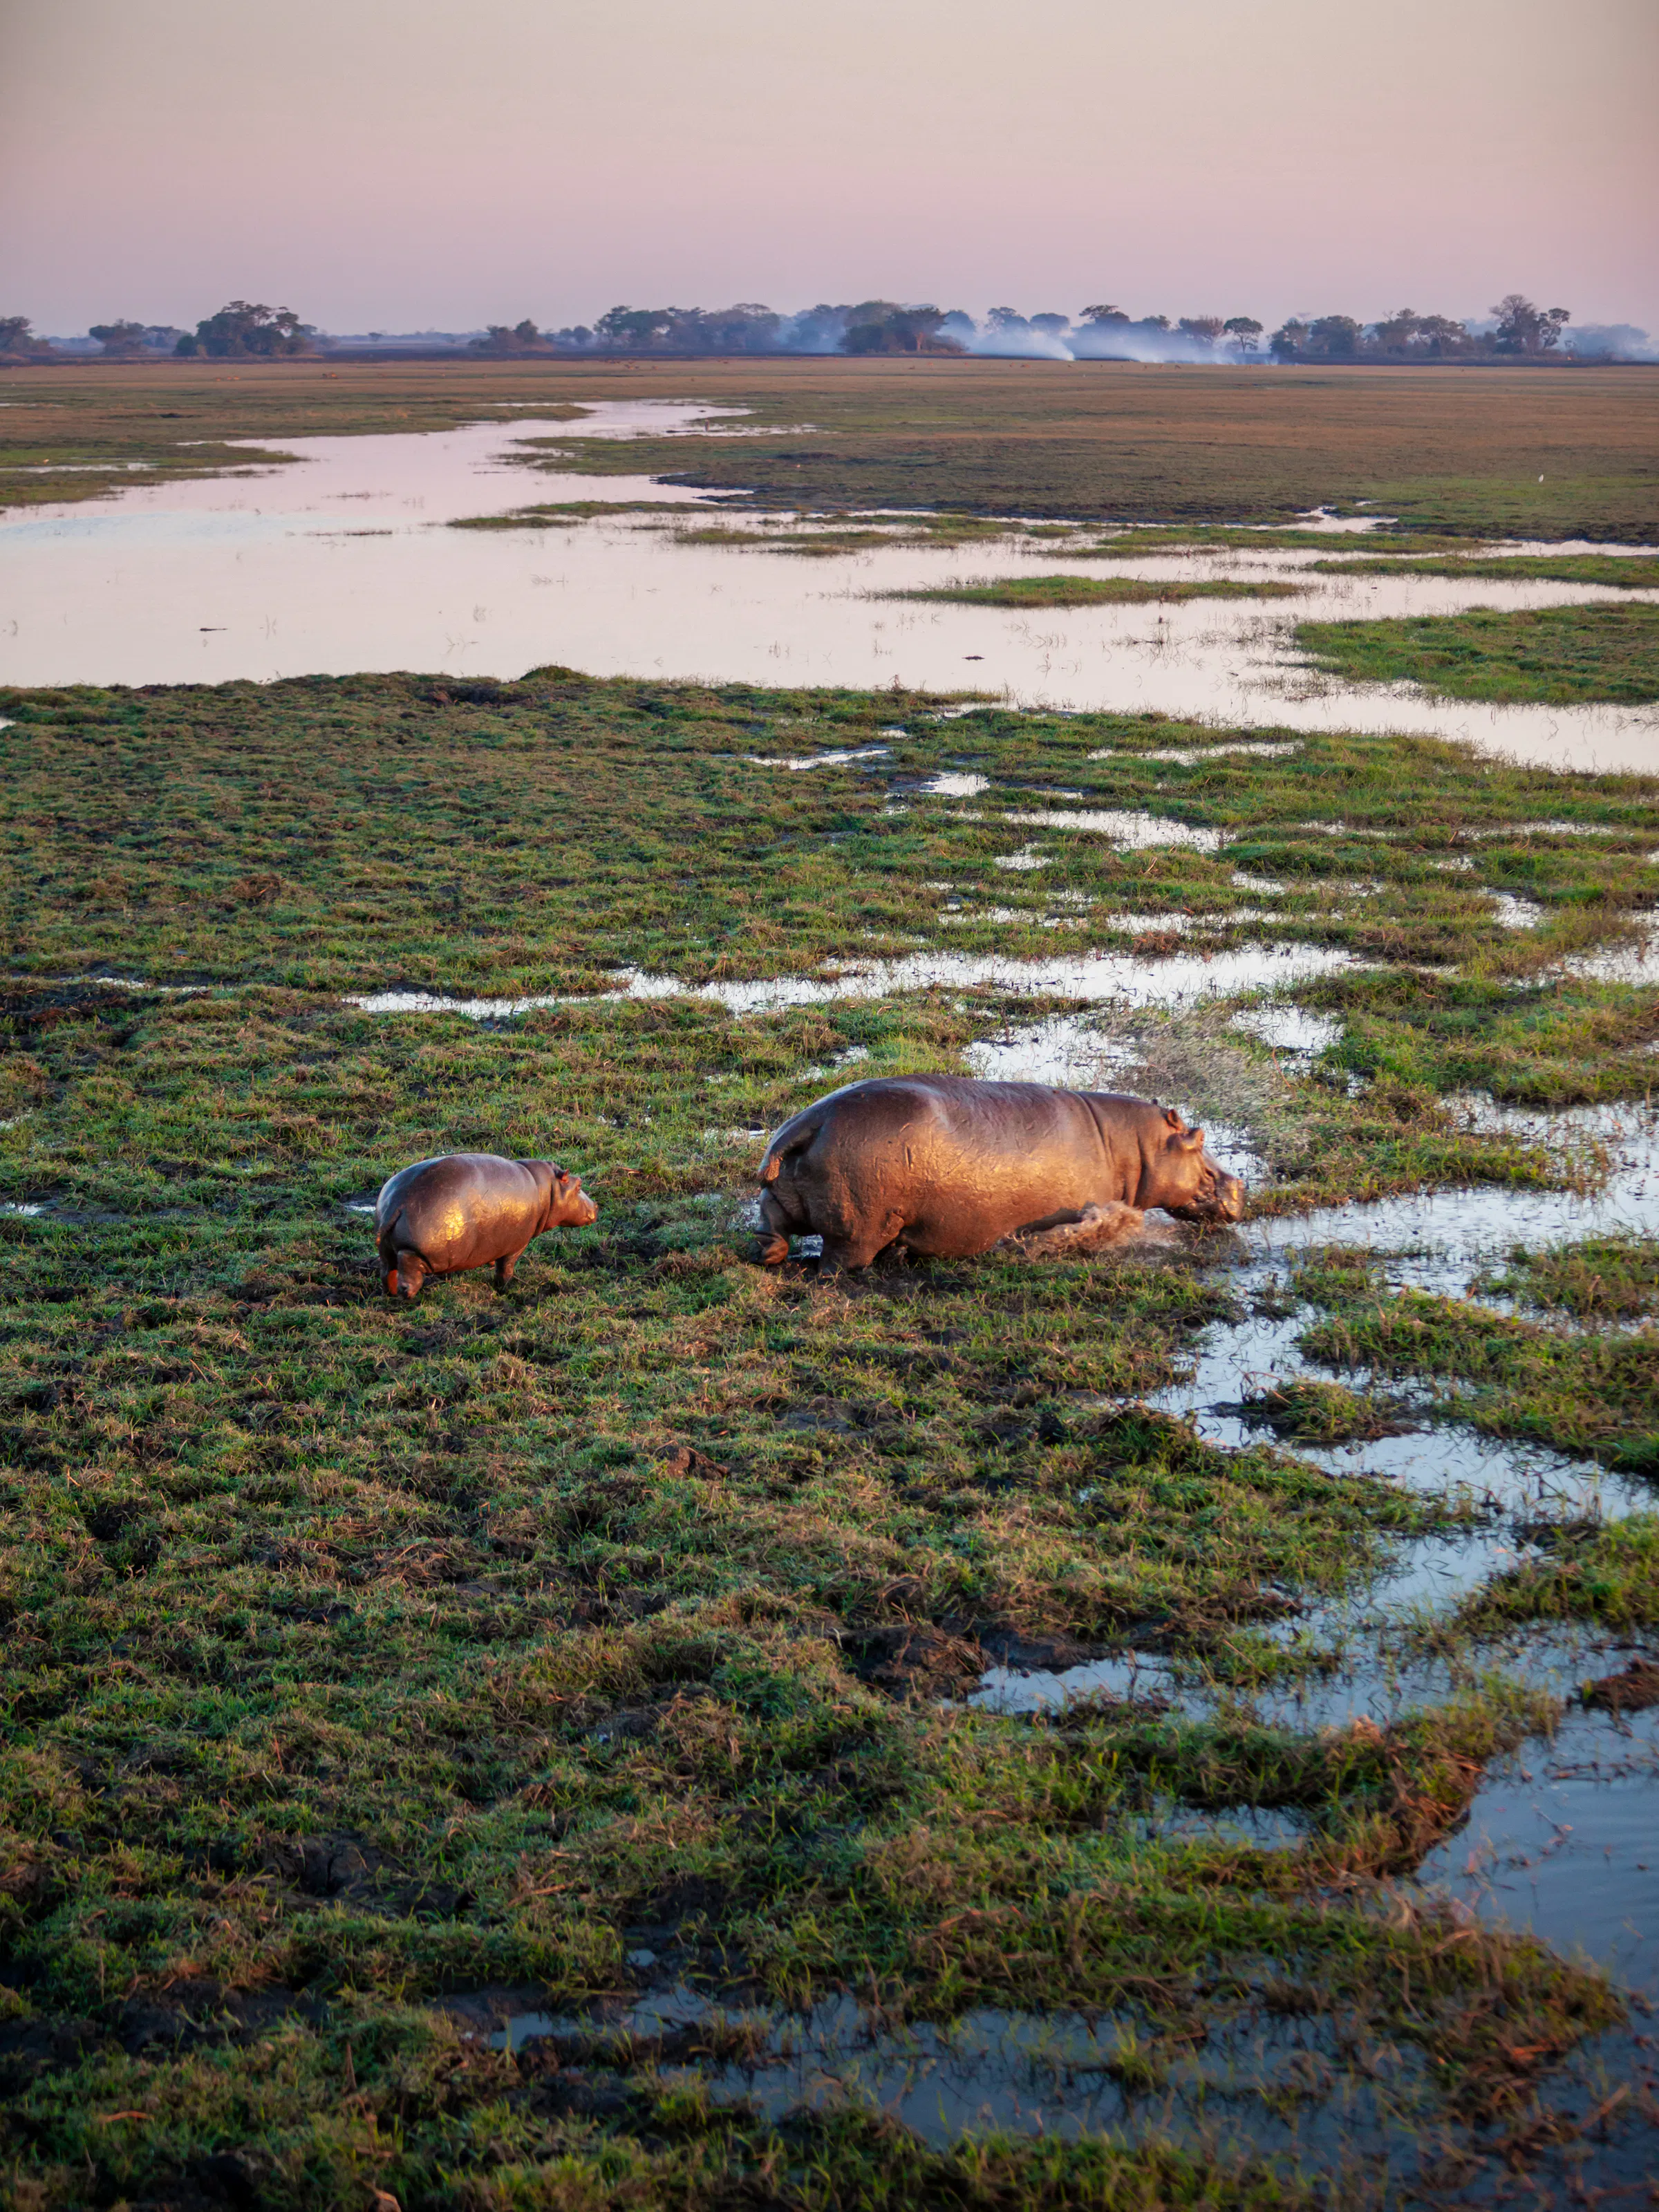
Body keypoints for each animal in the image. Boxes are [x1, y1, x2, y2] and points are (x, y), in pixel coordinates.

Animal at [375, 1153, 597, 1299]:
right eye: (579, 1184)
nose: (596, 1206)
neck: (548, 1188)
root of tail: (399, 1203)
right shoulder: (517, 1245)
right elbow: (505, 1268)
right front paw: (504, 1289)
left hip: (386, 1248)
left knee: (387, 1271)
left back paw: (390, 1293)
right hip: (420, 1252)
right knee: (408, 1269)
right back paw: (409, 1296)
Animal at [755, 1075, 1243, 1273]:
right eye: (1197, 1137)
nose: (1240, 1185)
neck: (1132, 1147)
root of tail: (809, 1121)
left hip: (782, 1195)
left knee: (771, 1225)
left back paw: (771, 1256)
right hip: (859, 1227)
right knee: (838, 1262)